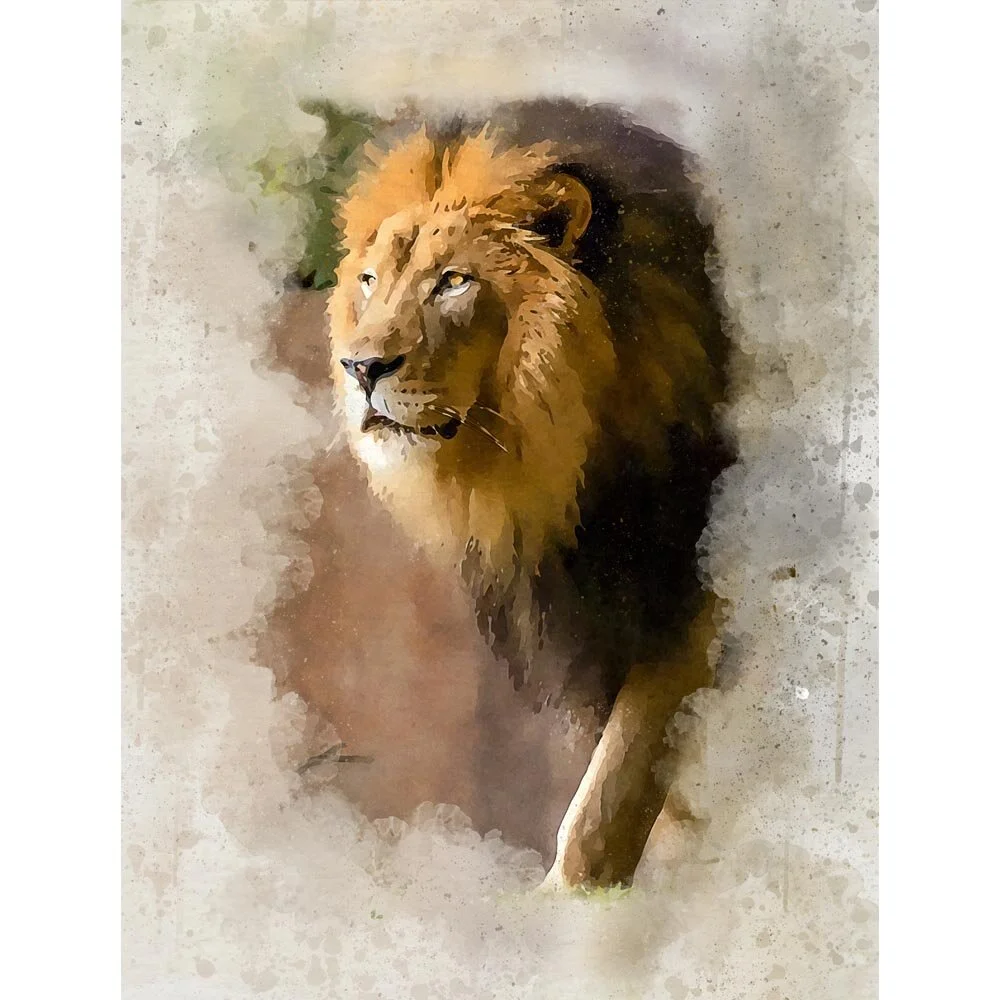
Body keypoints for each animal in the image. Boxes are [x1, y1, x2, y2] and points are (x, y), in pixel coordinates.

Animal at [325, 104, 732, 889]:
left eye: (453, 282)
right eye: (369, 280)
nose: (360, 367)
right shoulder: (579, 626)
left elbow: (609, 791)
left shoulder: (685, 603)